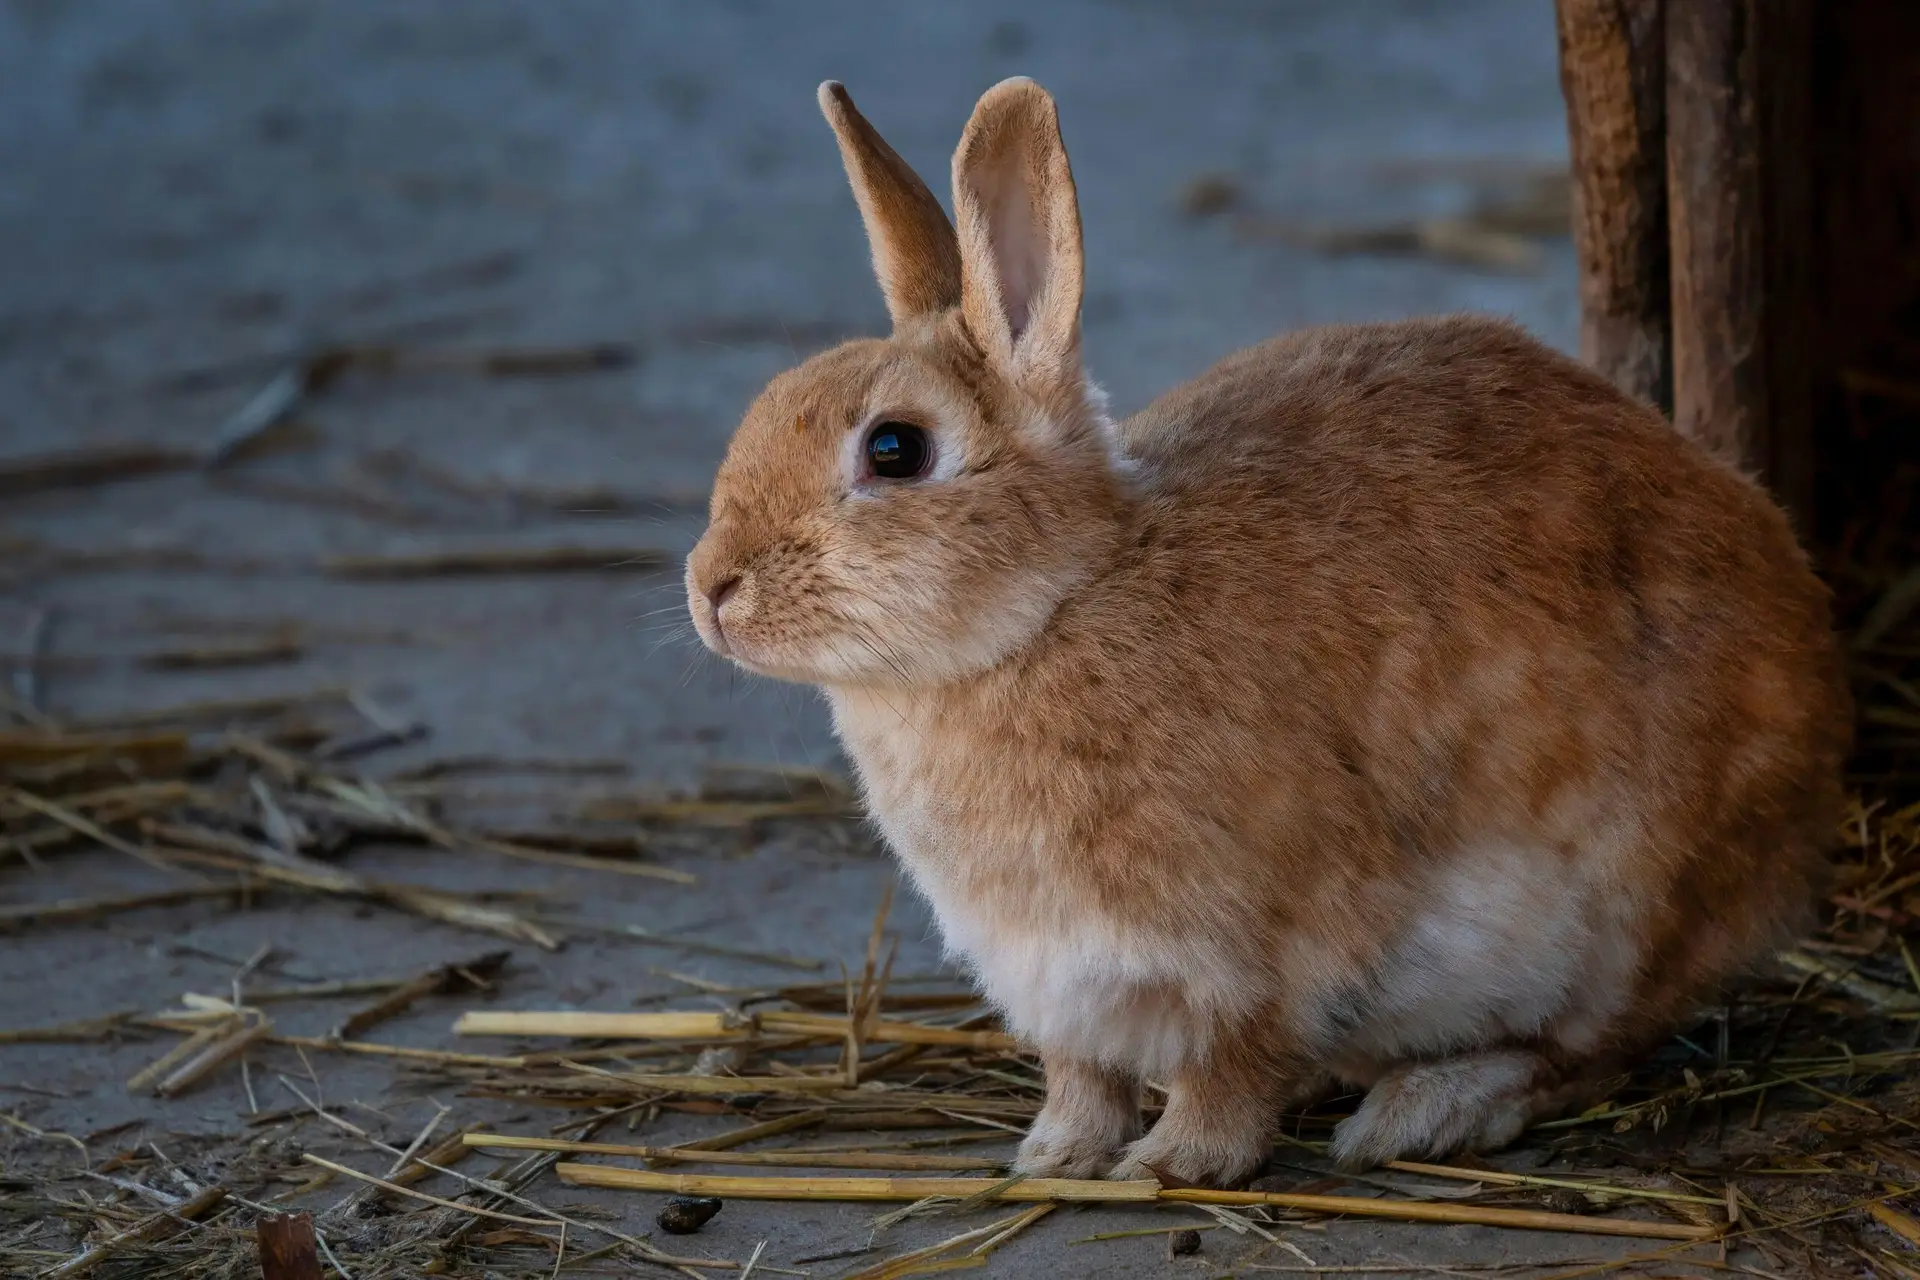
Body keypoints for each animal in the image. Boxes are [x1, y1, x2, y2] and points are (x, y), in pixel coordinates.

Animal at [683, 77, 1851, 1187]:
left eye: (895, 449)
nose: (711, 589)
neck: (1057, 605)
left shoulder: (1262, 953)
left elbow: (1231, 1066)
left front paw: (1175, 1164)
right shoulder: (1056, 982)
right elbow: (1082, 1076)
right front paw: (1054, 1156)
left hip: (1621, 912)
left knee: (1591, 1049)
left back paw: (1424, 1111)